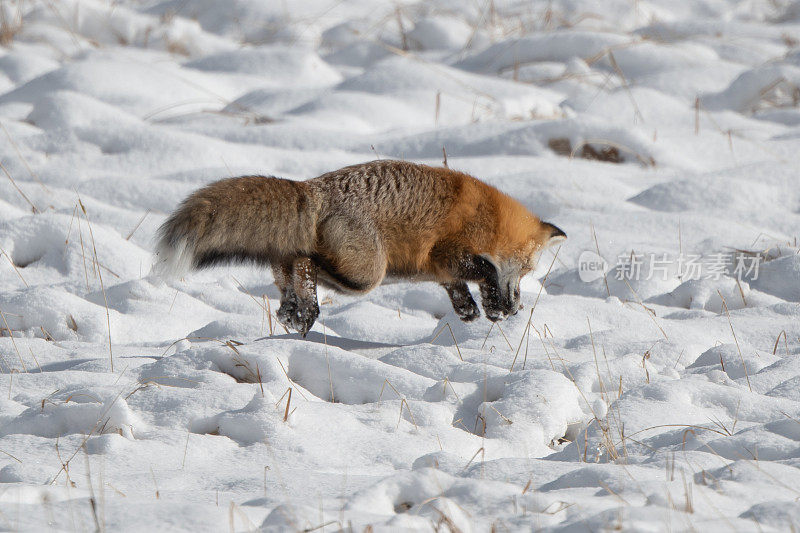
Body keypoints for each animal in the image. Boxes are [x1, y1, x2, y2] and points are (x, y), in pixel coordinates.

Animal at [156, 158, 564, 334]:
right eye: (527, 270)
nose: (518, 307)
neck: (488, 216)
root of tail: (313, 188)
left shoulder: (439, 267)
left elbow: (458, 287)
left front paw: (469, 312)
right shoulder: (447, 252)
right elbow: (483, 271)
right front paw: (494, 306)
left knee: (287, 276)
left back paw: (293, 313)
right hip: (367, 275)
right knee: (307, 264)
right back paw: (305, 307)